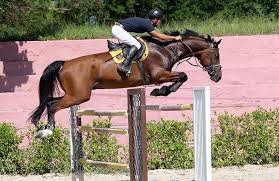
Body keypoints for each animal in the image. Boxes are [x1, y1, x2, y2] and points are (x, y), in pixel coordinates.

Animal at [29, 29, 223, 138]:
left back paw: (42, 127)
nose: (218, 77)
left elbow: (182, 76)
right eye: (216, 54)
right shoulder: (158, 76)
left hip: (74, 95)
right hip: (78, 96)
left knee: (48, 101)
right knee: (53, 105)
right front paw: (163, 91)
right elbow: (183, 76)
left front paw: (164, 91)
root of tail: (64, 63)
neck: (166, 49)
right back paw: (47, 131)